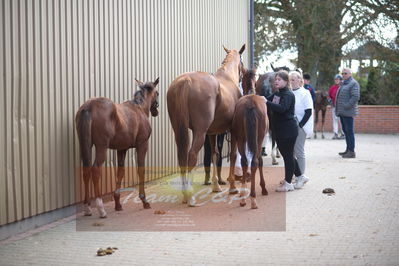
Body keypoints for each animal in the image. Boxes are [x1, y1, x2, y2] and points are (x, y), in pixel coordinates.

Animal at [75, 77, 159, 218]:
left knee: (86, 171)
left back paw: (87, 208)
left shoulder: (121, 149)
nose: (156, 110)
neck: (139, 108)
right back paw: (101, 208)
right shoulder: (142, 145)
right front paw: (144, 200)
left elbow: (120, 172)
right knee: (95, 170)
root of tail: (88, 106)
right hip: (101, 147)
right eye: (157, 93)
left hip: (85, 144)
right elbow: (140, 169)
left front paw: (118, 204)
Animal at [167, 44, 245, 206]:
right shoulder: (232, 130)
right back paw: (190, 197)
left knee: (182, 157)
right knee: (191, 155)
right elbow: (233, 155)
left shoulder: (212, 132)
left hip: (179, 129)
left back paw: (185, 195)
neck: (227, 78)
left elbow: (215, 154)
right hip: (200, 132)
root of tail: (185, 81)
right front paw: (232, 188)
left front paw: (216, 186)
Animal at [230, 66, 270, 208]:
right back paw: (251, 197)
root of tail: (250, 104)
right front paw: (263, 188)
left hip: (242, 138)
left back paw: (245, 197)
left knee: (246, 162)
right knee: (254, 162)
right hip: (255, 138)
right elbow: (260, 161)